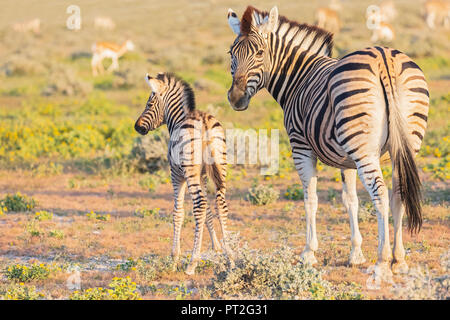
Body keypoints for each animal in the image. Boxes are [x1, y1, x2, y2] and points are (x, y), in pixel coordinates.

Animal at [227, 5, 428, 276]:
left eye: (259, 53)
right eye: (231, 53)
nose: (235, 98)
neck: (298, 78)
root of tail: (383, 57)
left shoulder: (300, 146)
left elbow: (310, 199)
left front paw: (308, 253)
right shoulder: (347, 160)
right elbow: (350, 200)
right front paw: (355, 254)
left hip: (364, 150)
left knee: (381, 193)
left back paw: (382, 260)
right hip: (404, 146)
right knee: (399, 193)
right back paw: (399, 258)